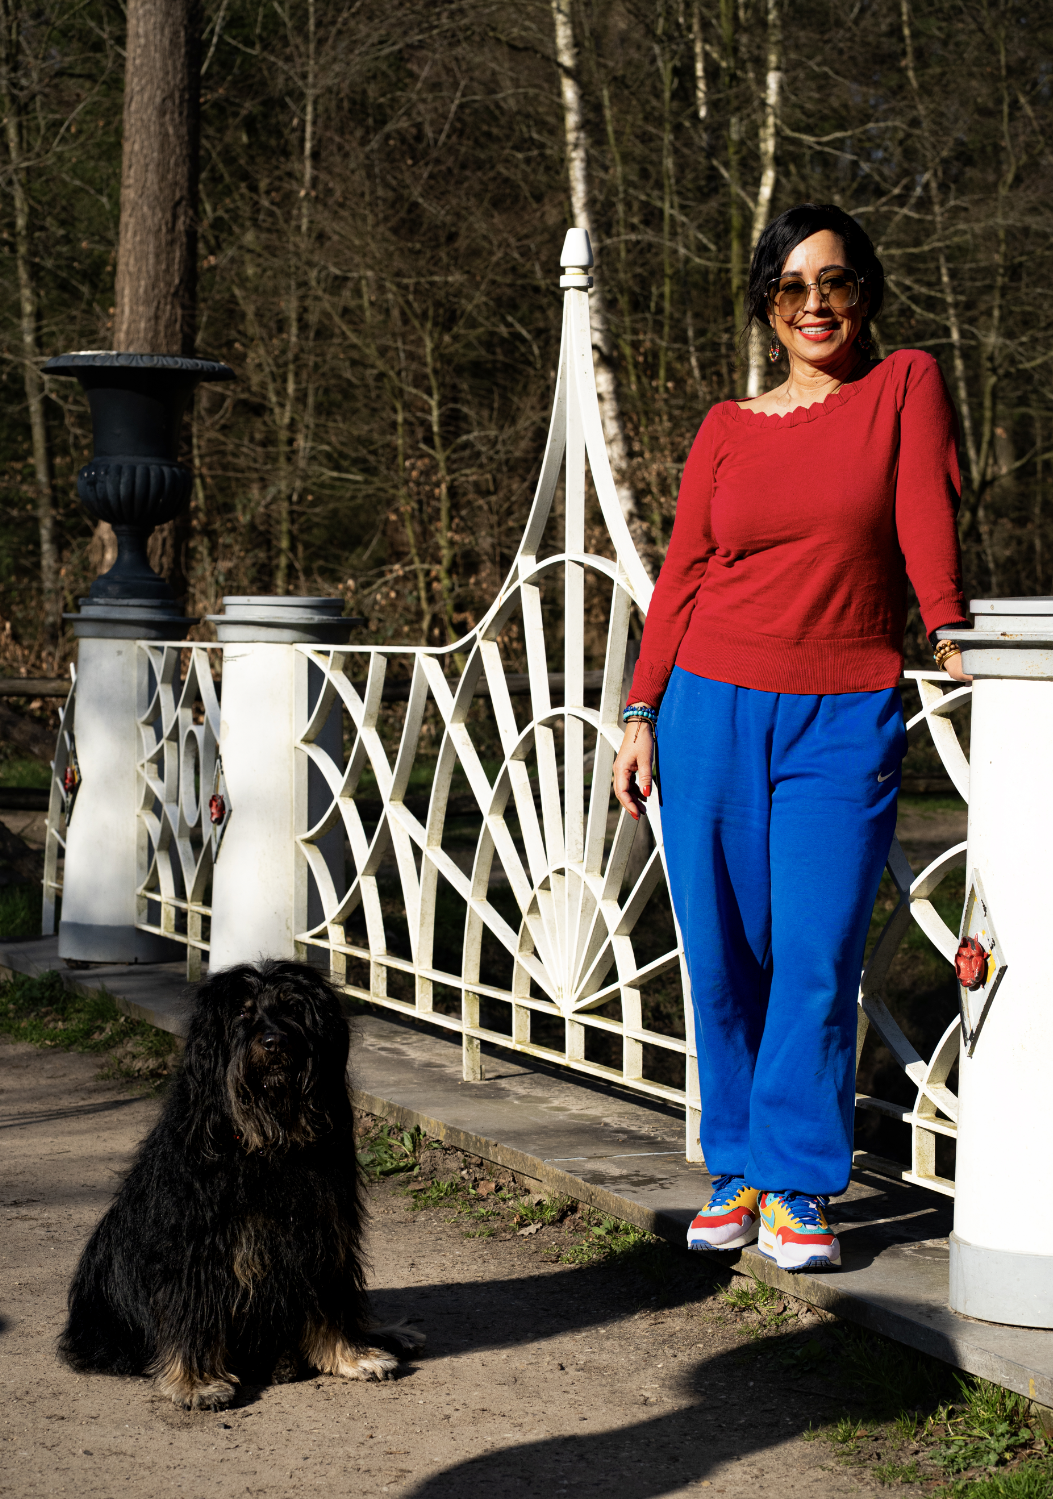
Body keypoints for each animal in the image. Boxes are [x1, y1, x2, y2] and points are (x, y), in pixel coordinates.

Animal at [59, 959, 423, 1409]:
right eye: (242, 1014)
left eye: (292, 1009)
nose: (273, 1042)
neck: (267, 1142)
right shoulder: (197, 1252)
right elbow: (193, 1314)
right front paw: (196, 1383)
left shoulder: (323, 1238)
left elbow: (331, 1301)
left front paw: (352, 1355)